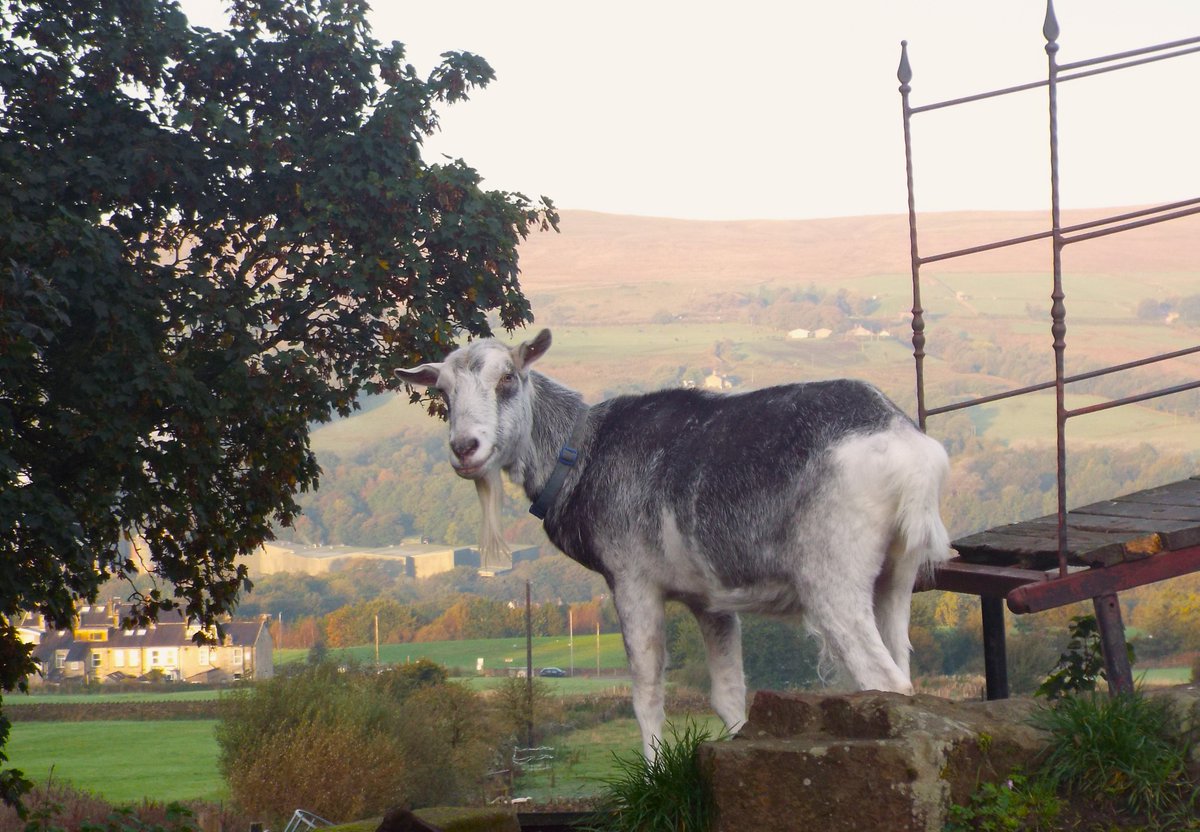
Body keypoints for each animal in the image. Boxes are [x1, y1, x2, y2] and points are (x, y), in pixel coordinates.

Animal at [397, 328, 951, 756]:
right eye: (443, 391)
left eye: (507, 379)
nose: (464, 448)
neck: (581, 453)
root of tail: (913, 454)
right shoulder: (711, 601)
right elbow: (728, 693)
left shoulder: (632, 580)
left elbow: (645, 692)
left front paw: (653, 772)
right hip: (894, 578)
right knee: (904, 672)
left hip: (832, 576)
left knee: (886, 680)